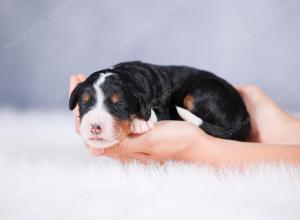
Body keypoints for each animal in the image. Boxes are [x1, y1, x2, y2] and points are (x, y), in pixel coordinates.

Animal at [69, 61, 250, 149]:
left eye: (119, 104)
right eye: (84, 102)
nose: (95, 127)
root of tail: (244, 113)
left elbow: (151, 113)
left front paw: (140, 123)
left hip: (199, 93)